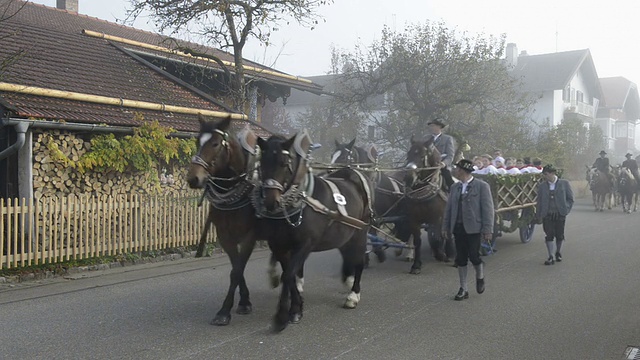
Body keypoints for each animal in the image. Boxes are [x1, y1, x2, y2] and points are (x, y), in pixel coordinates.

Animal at [255, 132, 372, 332]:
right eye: (262, 162)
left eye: (284, 163)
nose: (271, 202)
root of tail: (353, 174)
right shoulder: (279, 246)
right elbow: (290, 275)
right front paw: (296, 308)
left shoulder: (305, 244)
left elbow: (289, 275)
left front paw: (282, 316)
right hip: (344, 234)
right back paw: (348, 280)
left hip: (360, 232)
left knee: (359, 261)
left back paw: (353, 295)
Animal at [402, 136, 452, 274]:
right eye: (408, 154)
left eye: (421, 156)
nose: (408, 177)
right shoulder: (414, 219)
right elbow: (417, 241)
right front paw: (416, 265)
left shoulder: (439, 218)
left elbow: (438, 237)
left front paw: (441, 254)